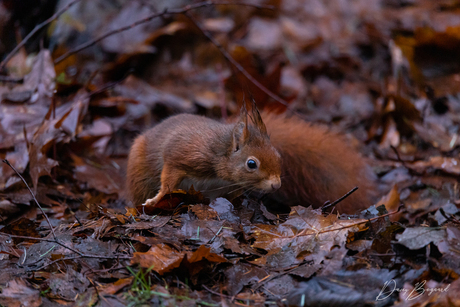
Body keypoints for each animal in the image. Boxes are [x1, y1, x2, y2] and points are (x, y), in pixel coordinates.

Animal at [125, 106, 374, 214]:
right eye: (251, 164)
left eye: (279, 156)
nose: (276, 185)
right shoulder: (184, 155)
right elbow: (169, 177)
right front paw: (157, 198)